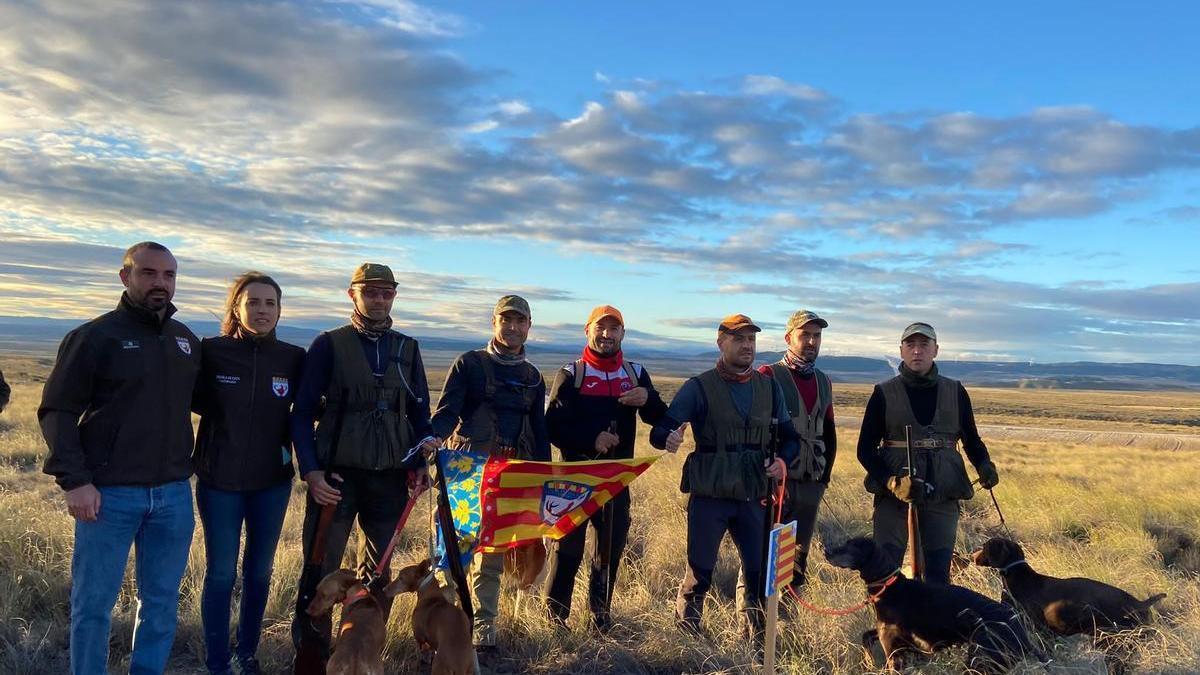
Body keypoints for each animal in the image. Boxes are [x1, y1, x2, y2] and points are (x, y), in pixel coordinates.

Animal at [825, 533, 1041, 667]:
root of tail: (1021, 632)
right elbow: (866, 636)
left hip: (980, 657)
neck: (890, 587)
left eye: (853, 546)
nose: (826, 551)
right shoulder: (890, 636)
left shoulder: (893, 650)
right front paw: (869, 661)